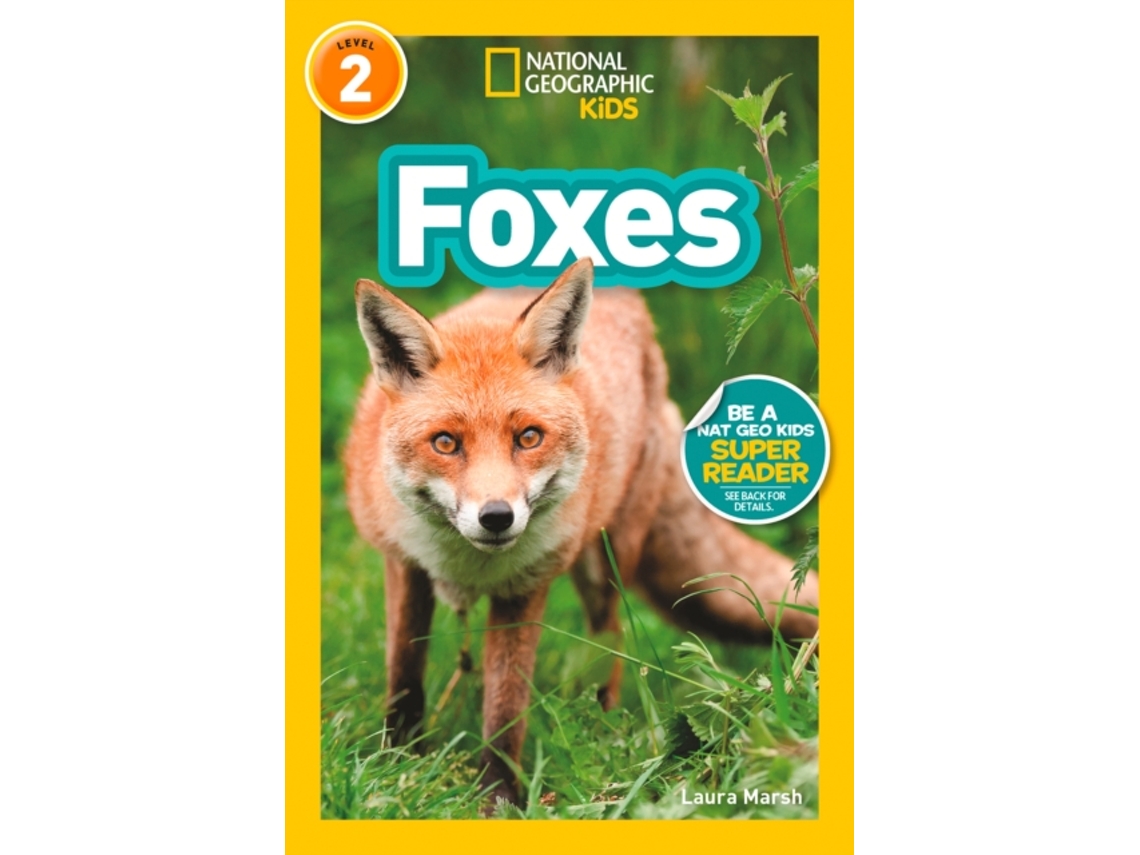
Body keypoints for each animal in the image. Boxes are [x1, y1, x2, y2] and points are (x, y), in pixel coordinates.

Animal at [344, 256, 819, 806]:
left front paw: (499, 799)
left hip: (605, 562)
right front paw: (395, 762)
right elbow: (404, 674)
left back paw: (605, 731)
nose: (496, 517)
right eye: (445, 443)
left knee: (610, 641)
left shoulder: (524, 588)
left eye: (529, 437)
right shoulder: (405, 564)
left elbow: (505, 709)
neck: (466, 562)